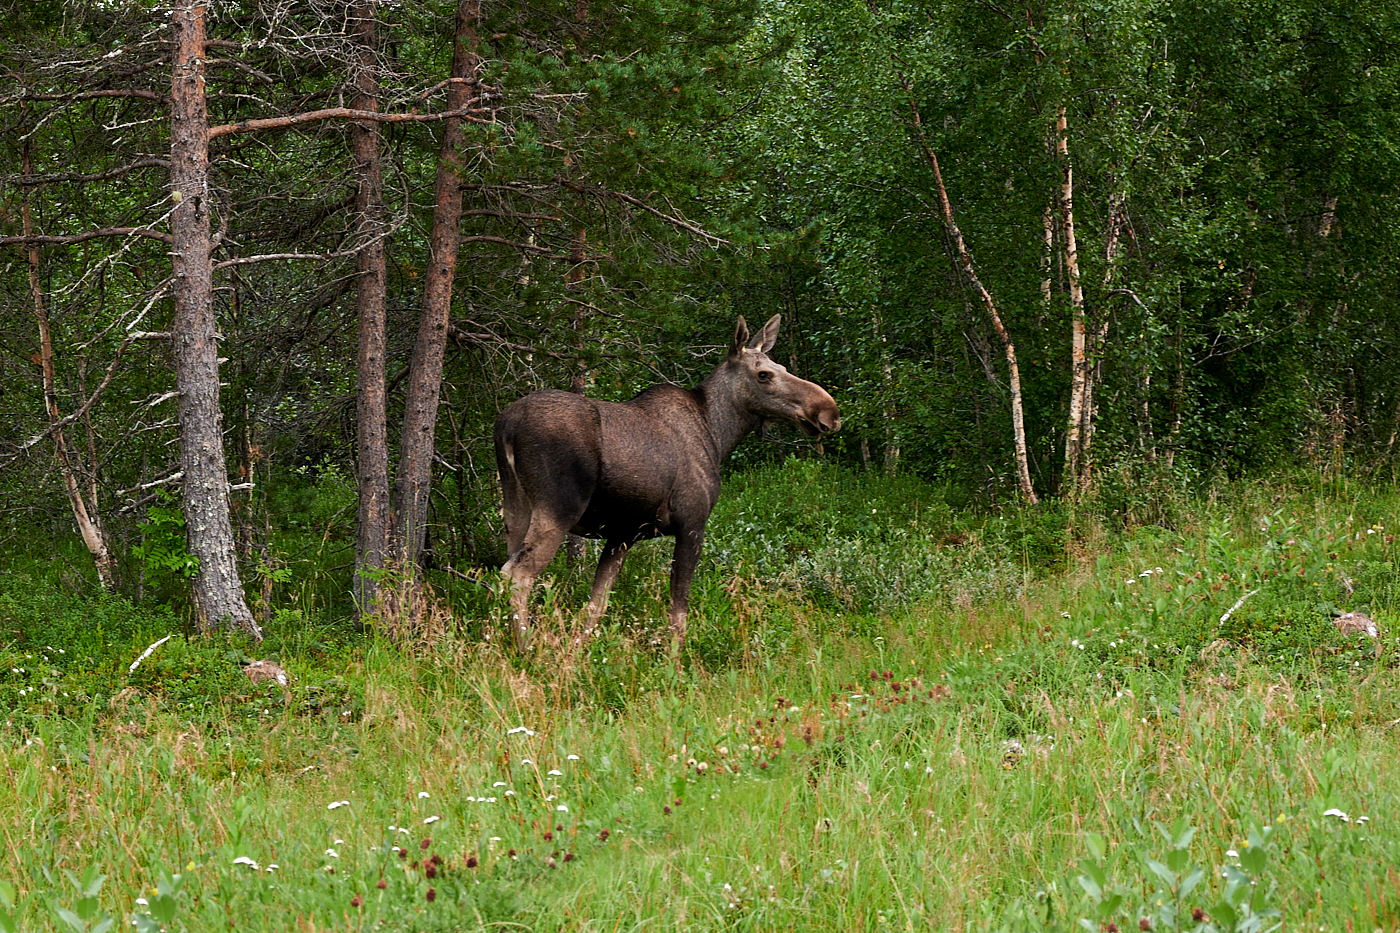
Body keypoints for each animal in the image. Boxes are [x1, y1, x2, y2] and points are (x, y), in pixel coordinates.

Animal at [495, 316, 840, 650]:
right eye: (764, 374)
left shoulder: (622, 534)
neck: (719, 434)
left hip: (515, 507)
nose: (828, 411)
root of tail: (506, 425)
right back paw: (526, 650)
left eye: (782, 367)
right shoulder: (692, 524)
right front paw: (675, 662)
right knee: (516, 575)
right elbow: (678, 612)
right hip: (559, 507)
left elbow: (596, 605)